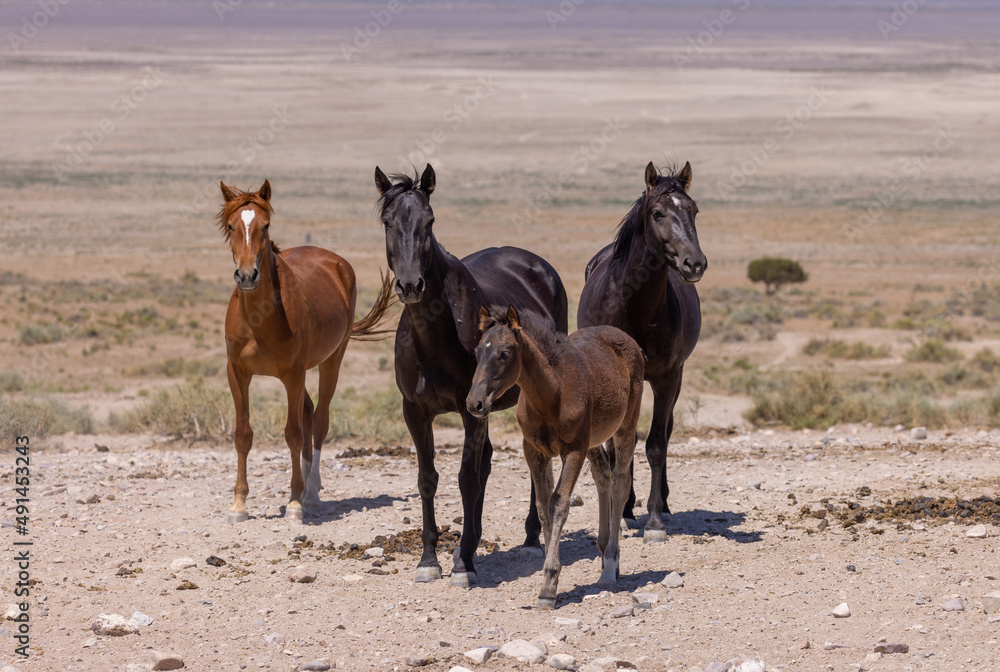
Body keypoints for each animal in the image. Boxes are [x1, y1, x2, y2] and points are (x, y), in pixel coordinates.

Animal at [219, 180, 394, 524]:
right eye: (231, 226)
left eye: (265, 226)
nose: (246, 276)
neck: (259, 318)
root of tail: (334, 261)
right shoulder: (238, 373)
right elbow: (243, 434)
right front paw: (238, 505)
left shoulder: (293, 374)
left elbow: (293, 434)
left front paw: (295, 503)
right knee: (309, 414)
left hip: (331, 361)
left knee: (320, 420)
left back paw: (310, 492)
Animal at [374, 163, 568, 584]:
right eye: (387, 221)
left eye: (429, 221)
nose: (410, 284)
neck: (434, 335)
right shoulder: (416, 411)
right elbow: (428, 479)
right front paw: (430, 559)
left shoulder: (470, 411)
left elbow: (466, 479)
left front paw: (463, 563)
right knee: (487, 462)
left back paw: (531, 536)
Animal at [466, 306, 644, 608]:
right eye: (477, 352)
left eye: (505, 353)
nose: (474, 403)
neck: (551, 394)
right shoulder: (534, 451)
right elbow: (542, 505)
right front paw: (548, 579)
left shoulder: (573, 450)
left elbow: (559, 503)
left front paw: (549, 585)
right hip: (594, 440)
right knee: (603, 477)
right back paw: (605, 552)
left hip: (625, 428)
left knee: (620, 482)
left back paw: (609, 566)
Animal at [576, 163, 708, 544]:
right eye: (658, 213)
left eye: (693, 210)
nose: (695, 263)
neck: (634, 306)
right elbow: (618, 443)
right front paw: (620, 514)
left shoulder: (668, 378)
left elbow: (656, 445)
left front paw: (654, 521)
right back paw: (626, 507)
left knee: (661, 433)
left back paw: (661, 503)